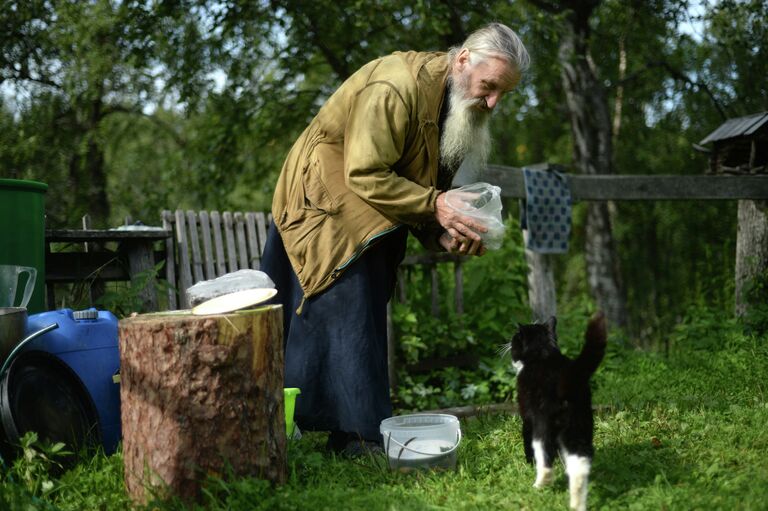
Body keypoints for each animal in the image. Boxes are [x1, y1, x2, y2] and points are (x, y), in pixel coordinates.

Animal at [508, 312, 608, 511]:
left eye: (515, 338)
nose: (508, 343)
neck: (543, 353)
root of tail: (568, 379)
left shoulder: (527, 417)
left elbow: (527, 441)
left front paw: (529, 463)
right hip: (579, 426)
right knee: (581, 465)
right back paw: (576, 504)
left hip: (543, 425)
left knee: (546, 458)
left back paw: (539, 485)